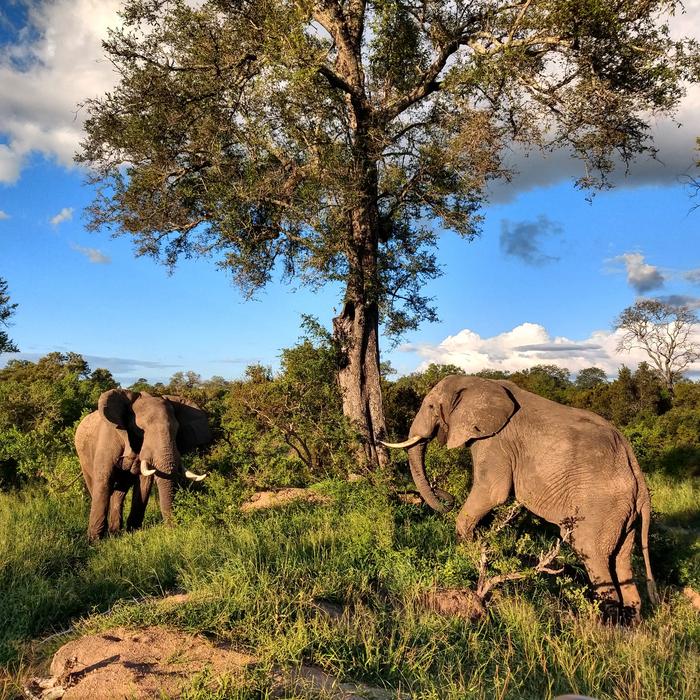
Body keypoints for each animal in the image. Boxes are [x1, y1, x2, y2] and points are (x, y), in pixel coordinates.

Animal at [75, 389, 211, 542]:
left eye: (176, 430)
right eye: (141, 430)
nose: (172, 531)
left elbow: (144, 482)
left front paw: (133, 532)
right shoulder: (107, 438)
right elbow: (104, 478)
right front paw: (94, 541)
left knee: (120, 490)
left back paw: (115, 532)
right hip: (82, 455)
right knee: (95, 485)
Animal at [382, 375, 658, 621]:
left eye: (430, 406)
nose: (444, 500)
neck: (479, 381)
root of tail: (640, 481)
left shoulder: (496, 442)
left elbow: (492, 491)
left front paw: (467, 552)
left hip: (601, 507)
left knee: (591, 553)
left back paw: (605, 624)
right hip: (622, 515)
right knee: (621, 559)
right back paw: (632, 622)